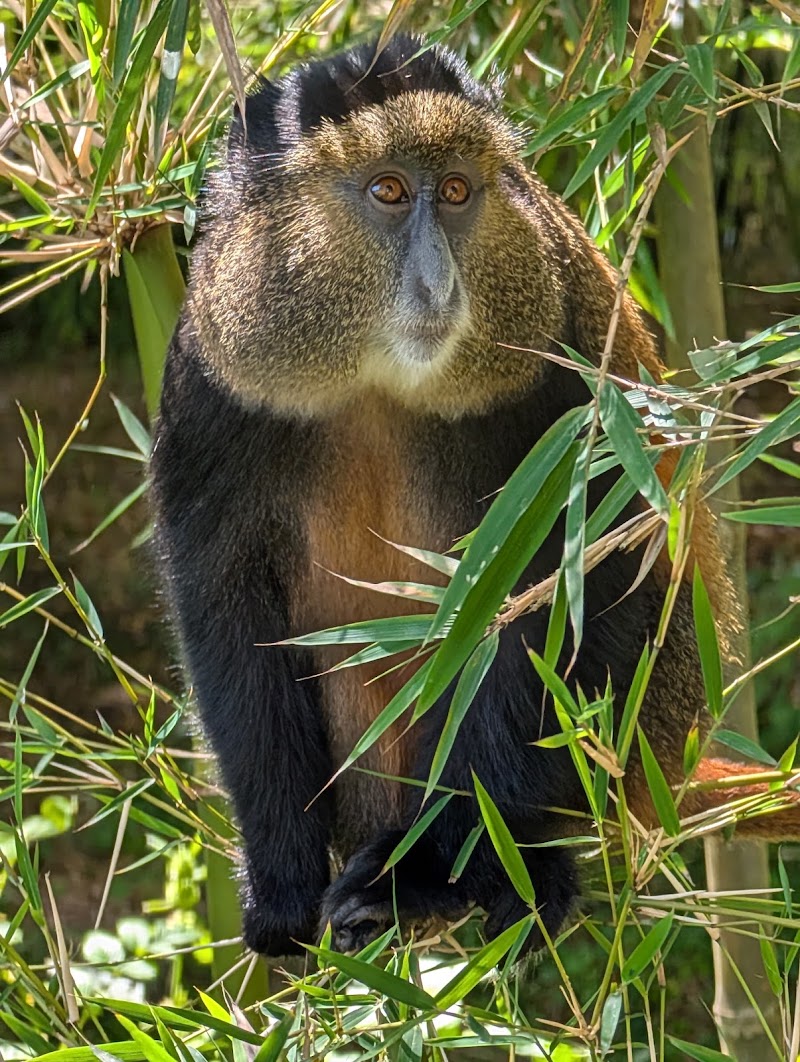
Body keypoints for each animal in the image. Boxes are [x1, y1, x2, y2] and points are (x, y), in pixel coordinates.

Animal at [150, 34, 799, 959]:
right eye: (388, 191)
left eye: (457, 192)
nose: (437, 283)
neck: (375, 375)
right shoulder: (209, 376)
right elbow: (223, 603)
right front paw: (281, 878)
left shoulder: (567, 369)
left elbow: (575, 592)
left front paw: (439, 866)